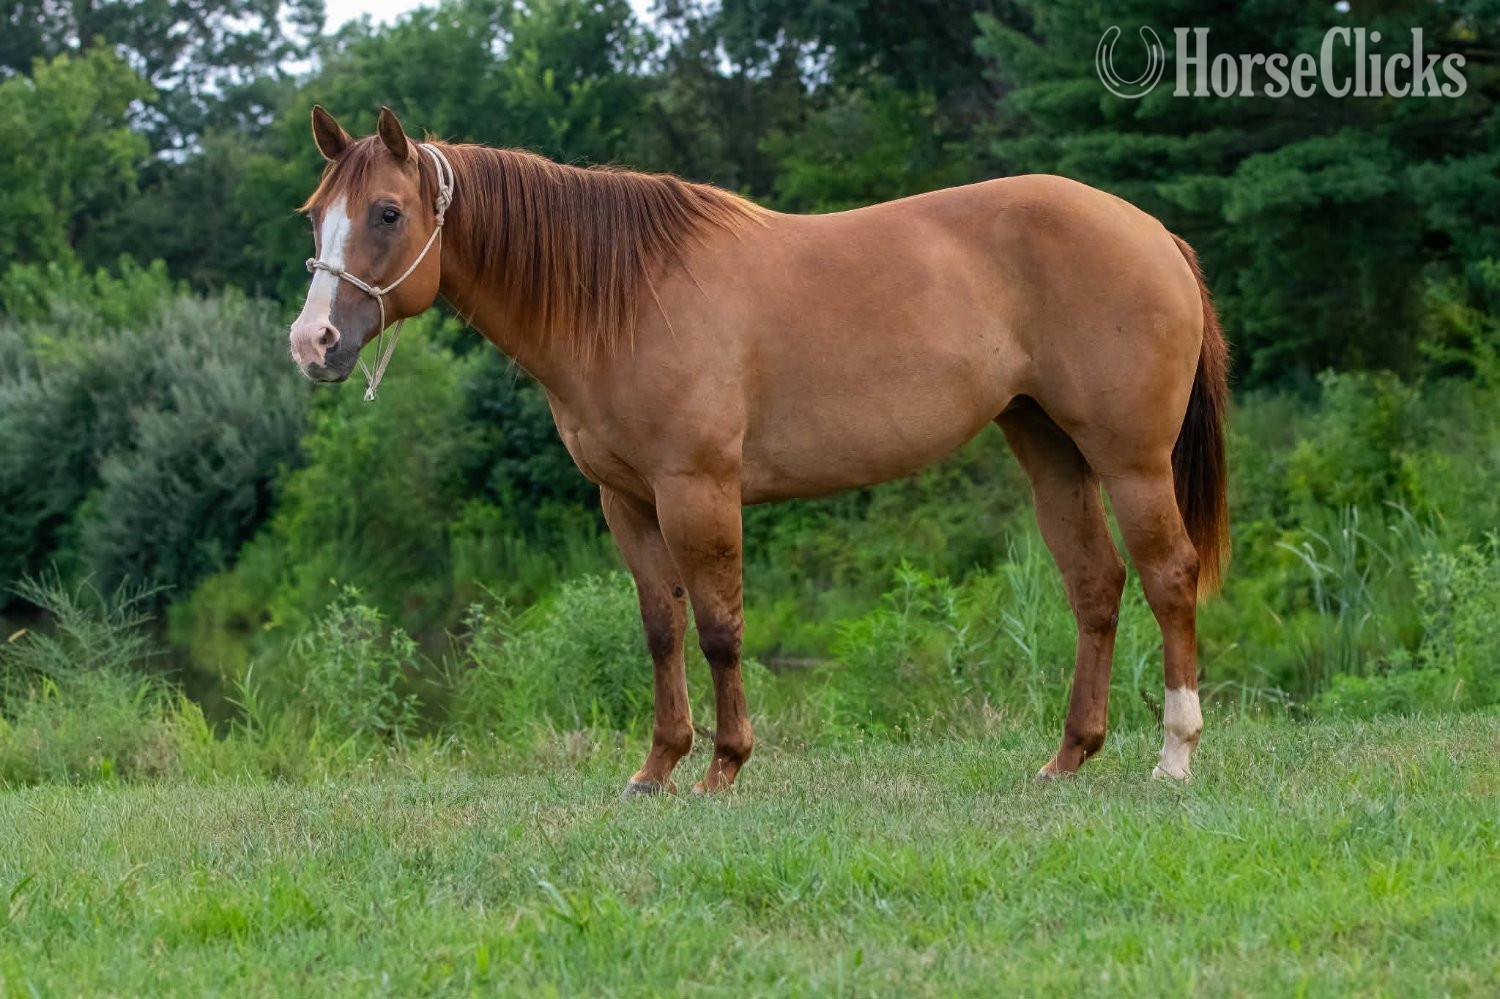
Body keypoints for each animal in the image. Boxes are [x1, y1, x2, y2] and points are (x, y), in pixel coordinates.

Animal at [290, 106, 1230, 793]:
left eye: (386, 213)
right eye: (314, 216)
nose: (313, 343)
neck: (627, 297)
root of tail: (1157, 234)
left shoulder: (697, 488)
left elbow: (719, 627)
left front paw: (723, 766)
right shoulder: (627, 501)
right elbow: (660, 627)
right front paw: (656, 768)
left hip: (1131, 459)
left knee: (1168, 575)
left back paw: (1175, 753)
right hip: (1050, 448)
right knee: (1095, 584)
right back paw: (1067, 757)